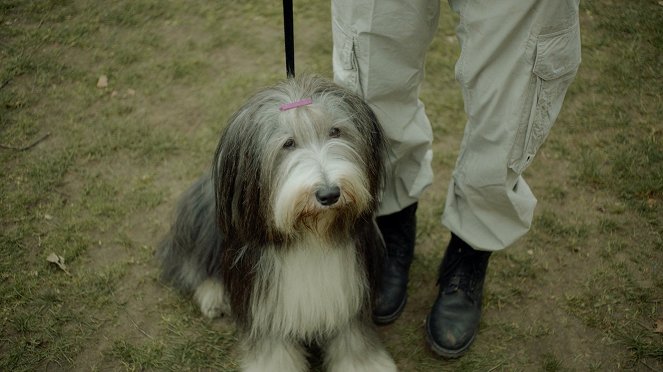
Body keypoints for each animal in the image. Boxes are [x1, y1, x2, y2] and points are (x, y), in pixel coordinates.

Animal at [160, 75, 400, 372]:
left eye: (336, 131)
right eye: (288, 144)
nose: (329, 194)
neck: (310, 234)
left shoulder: (351, 292)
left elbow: (353, 335)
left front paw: (363, 364)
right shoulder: (265, 304)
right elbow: (273, 347)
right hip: (202, 217)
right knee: (192, 264)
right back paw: (213, 295)